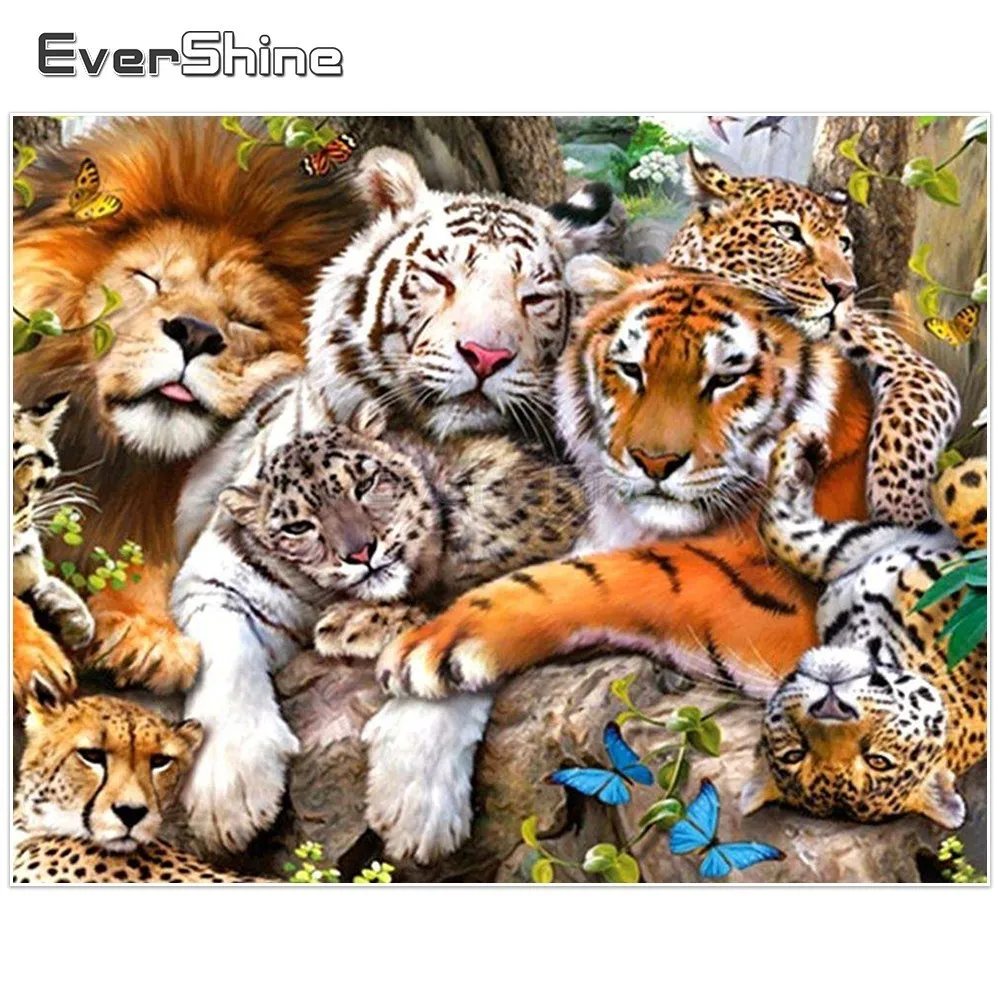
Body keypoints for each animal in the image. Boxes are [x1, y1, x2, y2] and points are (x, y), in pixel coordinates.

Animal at [170, 145, 617, 856]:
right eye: (438, 277)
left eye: (535, 296)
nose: (486, 354)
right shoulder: (220, 572)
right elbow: (224, 654)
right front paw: (230, 794)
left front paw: (414, 802)